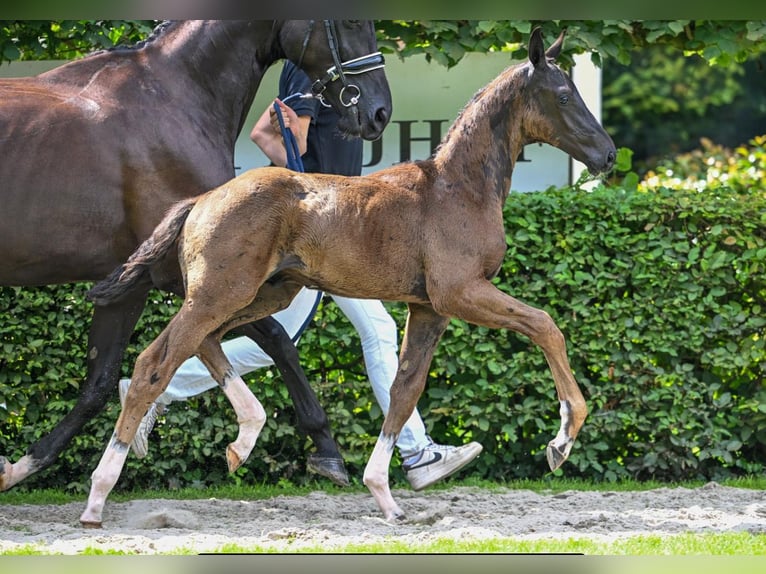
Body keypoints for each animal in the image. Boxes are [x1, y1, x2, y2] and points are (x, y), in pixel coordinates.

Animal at [0, 19, 392, 492]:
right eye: (350, 21)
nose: (379, 111)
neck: (172, 98)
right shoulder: (192, 275)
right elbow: (276, 339)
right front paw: (324, 447)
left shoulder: (129, 283)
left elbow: (99, 382)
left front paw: (23, 464)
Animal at [79, 27, 616, 526]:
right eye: (563, 95)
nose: (608, 155)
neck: (456, 188)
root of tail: (201, 200)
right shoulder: (461, 292)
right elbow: (545, 325)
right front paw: (562, 439)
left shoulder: (429, 307)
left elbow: (404, 390)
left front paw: (385, 494)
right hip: (222, 293)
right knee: (154, 362)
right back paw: (98, 496)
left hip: (264, 294)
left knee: (203, 343)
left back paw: (243, 439)